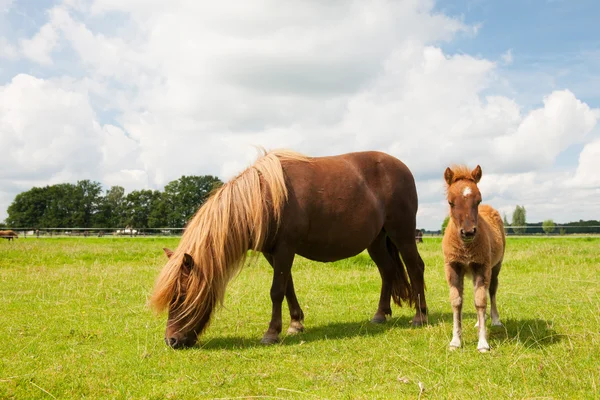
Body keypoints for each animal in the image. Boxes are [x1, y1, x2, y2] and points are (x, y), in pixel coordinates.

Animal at [152, 148, 428, 348]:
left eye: (182, 296)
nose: (171, 341)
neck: (263, 198)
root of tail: (403, 168)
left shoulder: (285, 249)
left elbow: (276, 290)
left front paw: (271, 333)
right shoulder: (272, 253)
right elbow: (287, 288)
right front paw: (296, 324)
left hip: (402, 234)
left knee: (415, 267)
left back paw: (420, 316)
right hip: (376, 241)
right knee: (388, 271)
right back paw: (380, 314)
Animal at [440, 164, 506, 352]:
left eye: (478, 200)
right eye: (450, 201)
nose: (468, 232)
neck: (466, 247)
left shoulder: (482, 266)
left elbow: (480, 301)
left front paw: (483, 343)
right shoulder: (453, 267)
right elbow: (457, 301)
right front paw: (455, 341)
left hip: (495, 266)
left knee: (491, 290)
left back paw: (495, 320)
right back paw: (478, 322)